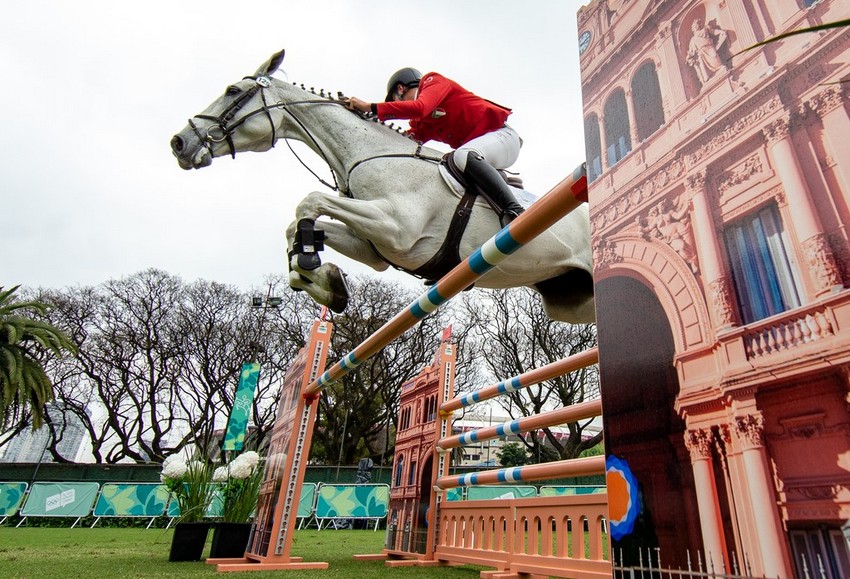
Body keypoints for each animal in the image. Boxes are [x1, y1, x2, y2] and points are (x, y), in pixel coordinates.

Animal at [169, 49, 592, 324]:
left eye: (232, 91)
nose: (179, 143)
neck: (367, 155)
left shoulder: (396, 229)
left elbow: (309, 201)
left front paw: (311, 264)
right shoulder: (375, 247)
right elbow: (298, 225)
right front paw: (325, 283)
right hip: (574, 302)